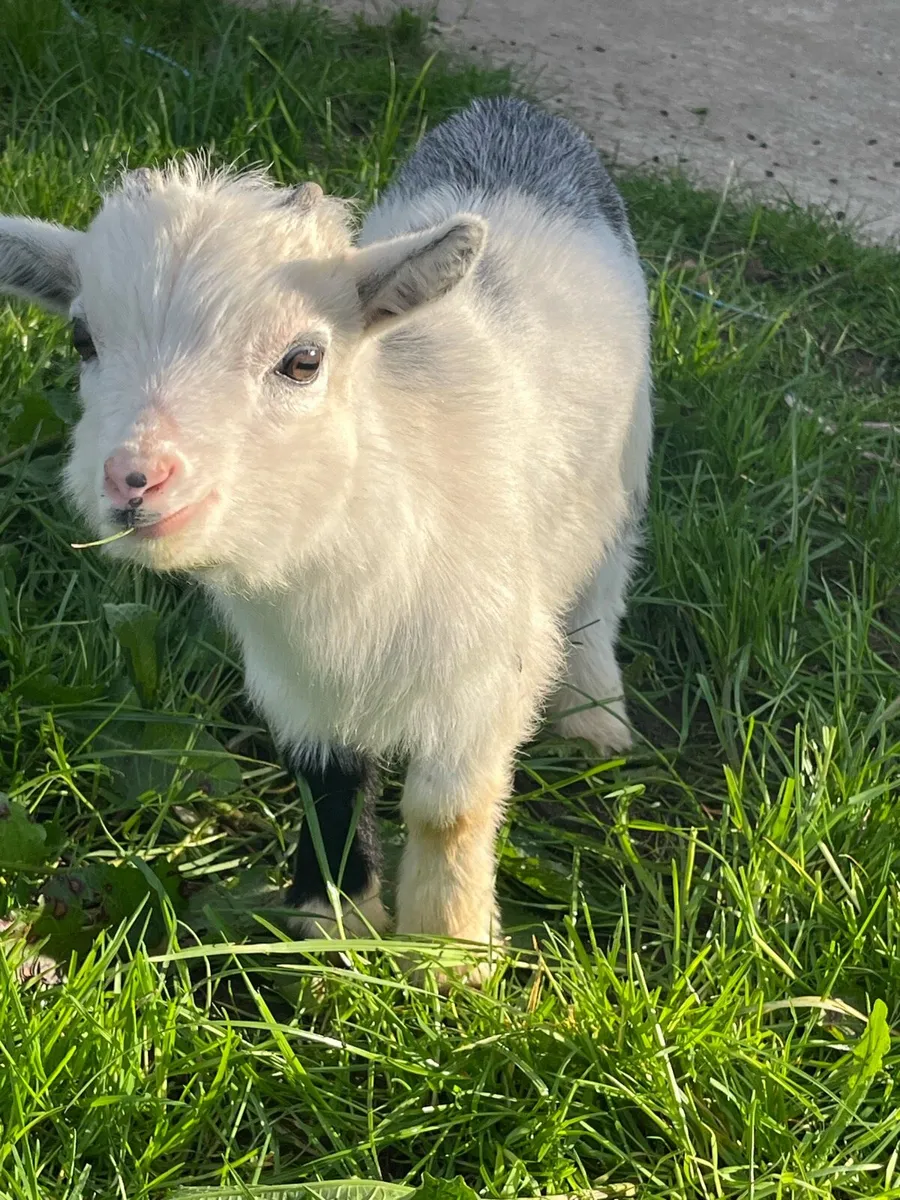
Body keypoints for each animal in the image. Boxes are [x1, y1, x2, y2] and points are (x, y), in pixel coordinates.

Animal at [0, 98, 652, 975]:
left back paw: (593, 718)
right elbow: (327, 783)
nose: (136, 480)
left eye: (303, 360)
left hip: (628, 463)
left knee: (603, 589)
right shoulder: (298, 678)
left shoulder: (486, 674)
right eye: (82, 340)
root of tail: (512, 112)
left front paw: (451, 956)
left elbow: (450, 810)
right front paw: (332, 927)